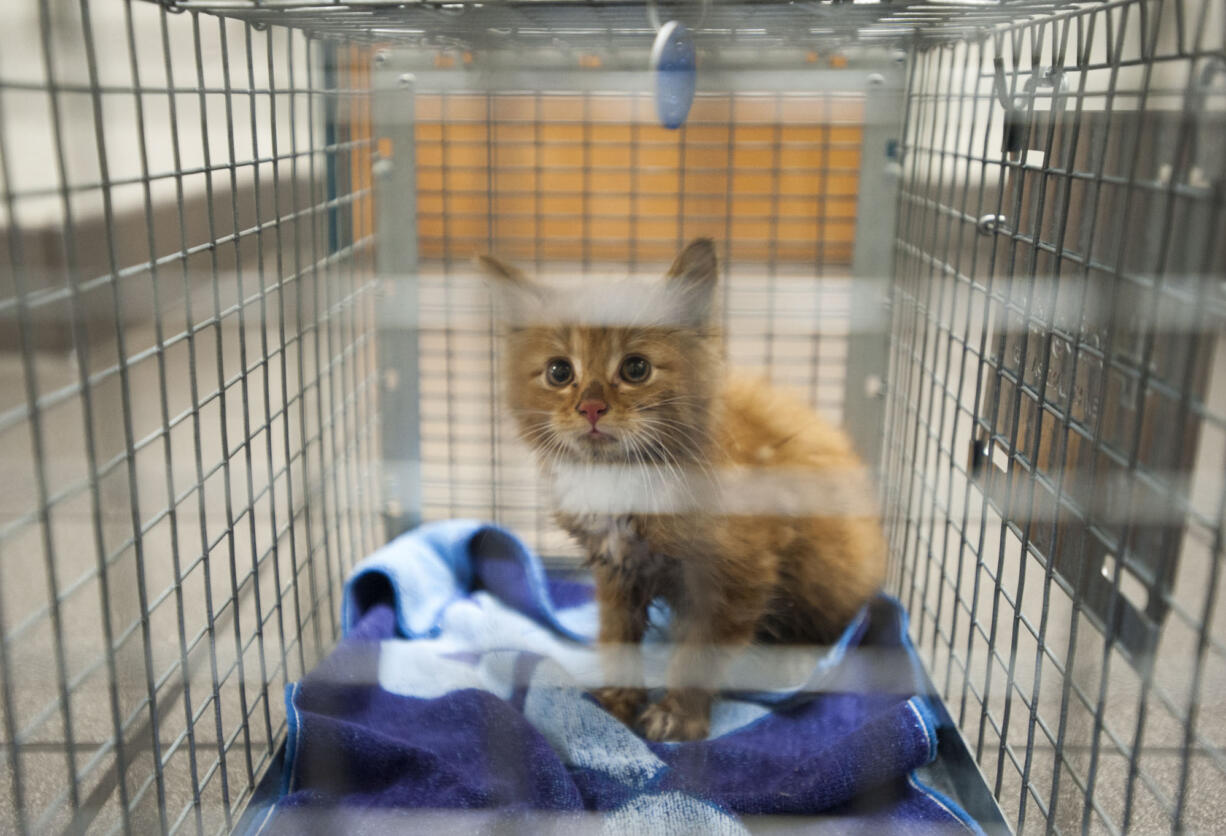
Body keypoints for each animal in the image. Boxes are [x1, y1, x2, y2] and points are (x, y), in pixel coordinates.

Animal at [475, 237, 882, 740]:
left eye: (635, 368)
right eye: (558, 372)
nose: (591, 407)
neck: (621, 479)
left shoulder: (738, 577)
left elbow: (699, 656)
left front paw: (677, 717)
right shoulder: (616, 570)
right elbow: (618, 637)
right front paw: (618, 700)